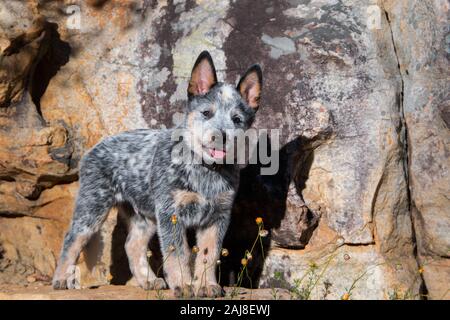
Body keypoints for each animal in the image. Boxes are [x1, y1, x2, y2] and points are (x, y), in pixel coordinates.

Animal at [51, 50, 264, 298]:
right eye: (206, 113)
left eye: (237, 119)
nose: (220, 136)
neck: (205, 170)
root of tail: (95, 146)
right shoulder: (171, 214)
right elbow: (178, 253)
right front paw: (184, 284)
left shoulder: (217, 217)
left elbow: (208, 254)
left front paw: (206, 285)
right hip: (93, 208)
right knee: (72, 239)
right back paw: (61, 279)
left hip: (145, 216)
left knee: (132, 245)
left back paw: (148, 280)